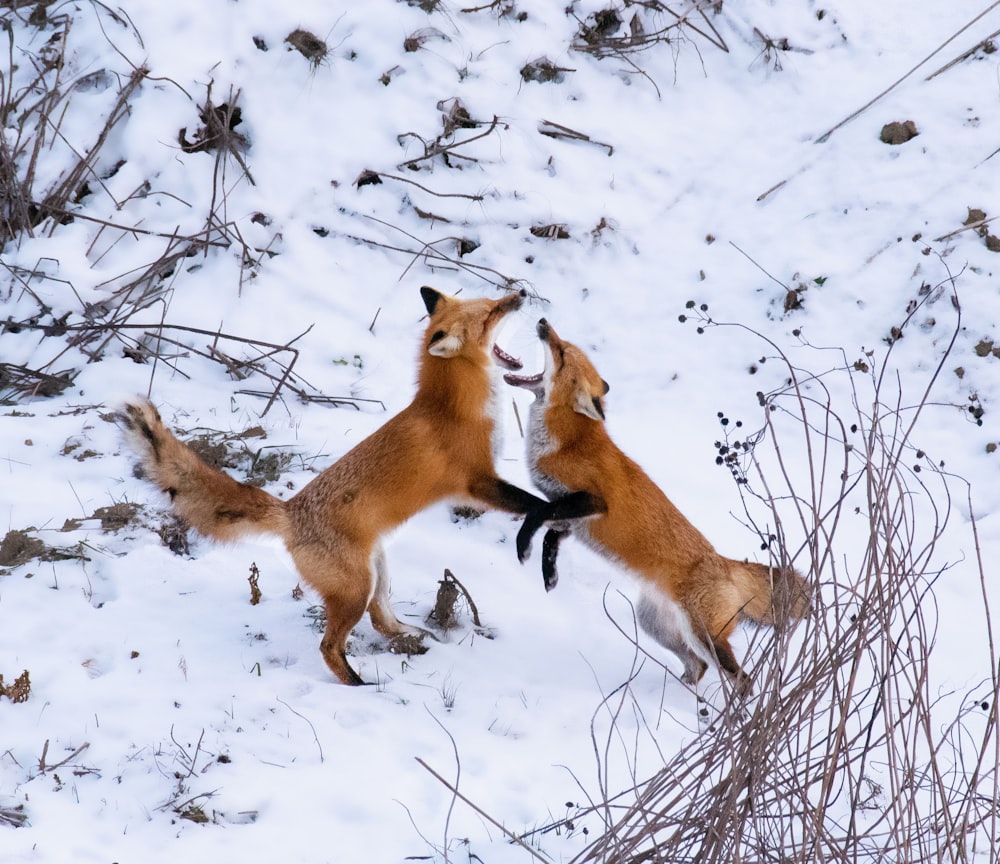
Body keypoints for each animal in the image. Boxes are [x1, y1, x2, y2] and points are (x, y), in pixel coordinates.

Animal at [123, 286, 556, 684]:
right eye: (490, 314)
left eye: (492, 300)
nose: (521, 291)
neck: (453, 405)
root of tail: (289, 512)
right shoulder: (478, 481)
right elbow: (536, 504)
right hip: (355, 589)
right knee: (329, 646)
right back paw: (359, 684)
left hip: (376, 572)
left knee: (380, 619)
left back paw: (413, 636)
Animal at [508, 320, 812, 692]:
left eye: (562, 352)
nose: (543, 322)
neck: (566, 441)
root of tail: (722, 561)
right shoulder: (572, 516)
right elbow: (551, 535)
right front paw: (548, 573)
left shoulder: (592, 500)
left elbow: (537, 513)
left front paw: (523, 546)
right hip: (657, 626)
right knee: (697, 667)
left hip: (705, 636)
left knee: (741, 679)